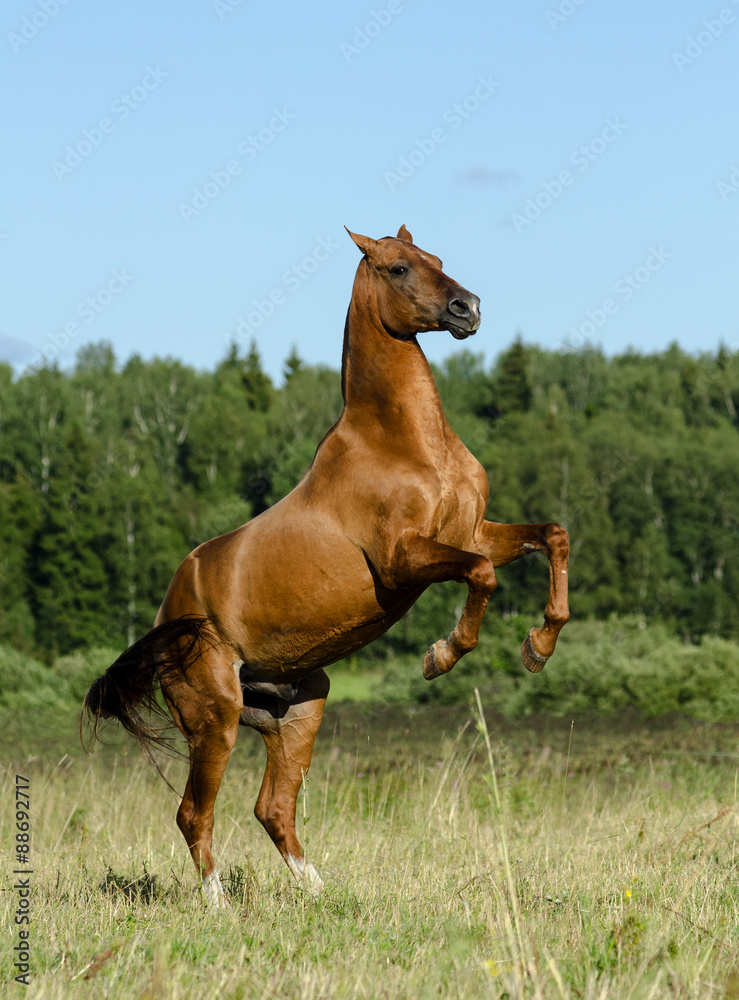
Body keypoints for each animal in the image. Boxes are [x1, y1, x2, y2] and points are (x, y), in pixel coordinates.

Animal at [83, 225, 569, 907]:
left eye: (437, 259)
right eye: (397, 268)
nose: (467, 309)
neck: (405, 444)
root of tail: (165, 619)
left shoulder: (473, 532)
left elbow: (551, 536)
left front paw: (539, 646)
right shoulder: (403, 559)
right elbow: (482, 574)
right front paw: (442, 654)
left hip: (298, 712)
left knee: (272, 809)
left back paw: (320, 893)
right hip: (215, 722)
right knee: (194, 813)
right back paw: (219, 906)